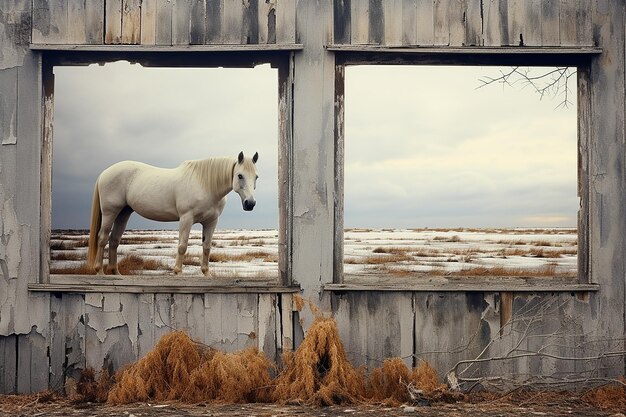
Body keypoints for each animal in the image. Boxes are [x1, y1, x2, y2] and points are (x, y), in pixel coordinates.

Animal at [85, 151, 256, 274]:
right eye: (240, 175)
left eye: (256, 177)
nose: (250, 203)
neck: (205, 185)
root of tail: (105, 173)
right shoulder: (186, 218)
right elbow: (182, 246)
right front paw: (177, 272)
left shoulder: (211, 222)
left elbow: (206, 247)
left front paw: (206, 274)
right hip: (110, 212)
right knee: (102, 238)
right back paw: (99, 272)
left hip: (123, 213)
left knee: (114, 240)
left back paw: (116, 274)